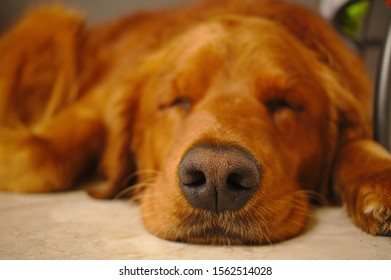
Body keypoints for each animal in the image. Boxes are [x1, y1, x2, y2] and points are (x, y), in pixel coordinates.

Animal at [0, 0, 391, 244]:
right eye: (178, 100)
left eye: (285, 104)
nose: (217, 177)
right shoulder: (95, 103)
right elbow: (36, 159)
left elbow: (358, 144)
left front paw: (377, 176)